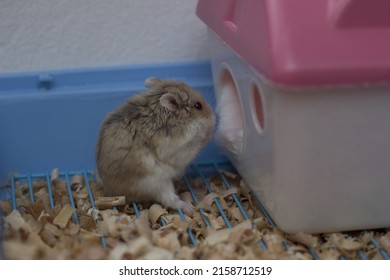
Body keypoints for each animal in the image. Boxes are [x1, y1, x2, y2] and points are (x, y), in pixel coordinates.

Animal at [95, 77, 216, 215]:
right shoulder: (176, 150)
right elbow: (196, 144)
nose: (214, 117)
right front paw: (210, 136)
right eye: (198, 106)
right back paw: (190, 209)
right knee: (171, 200)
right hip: (157, 185)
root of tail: (110, 190)